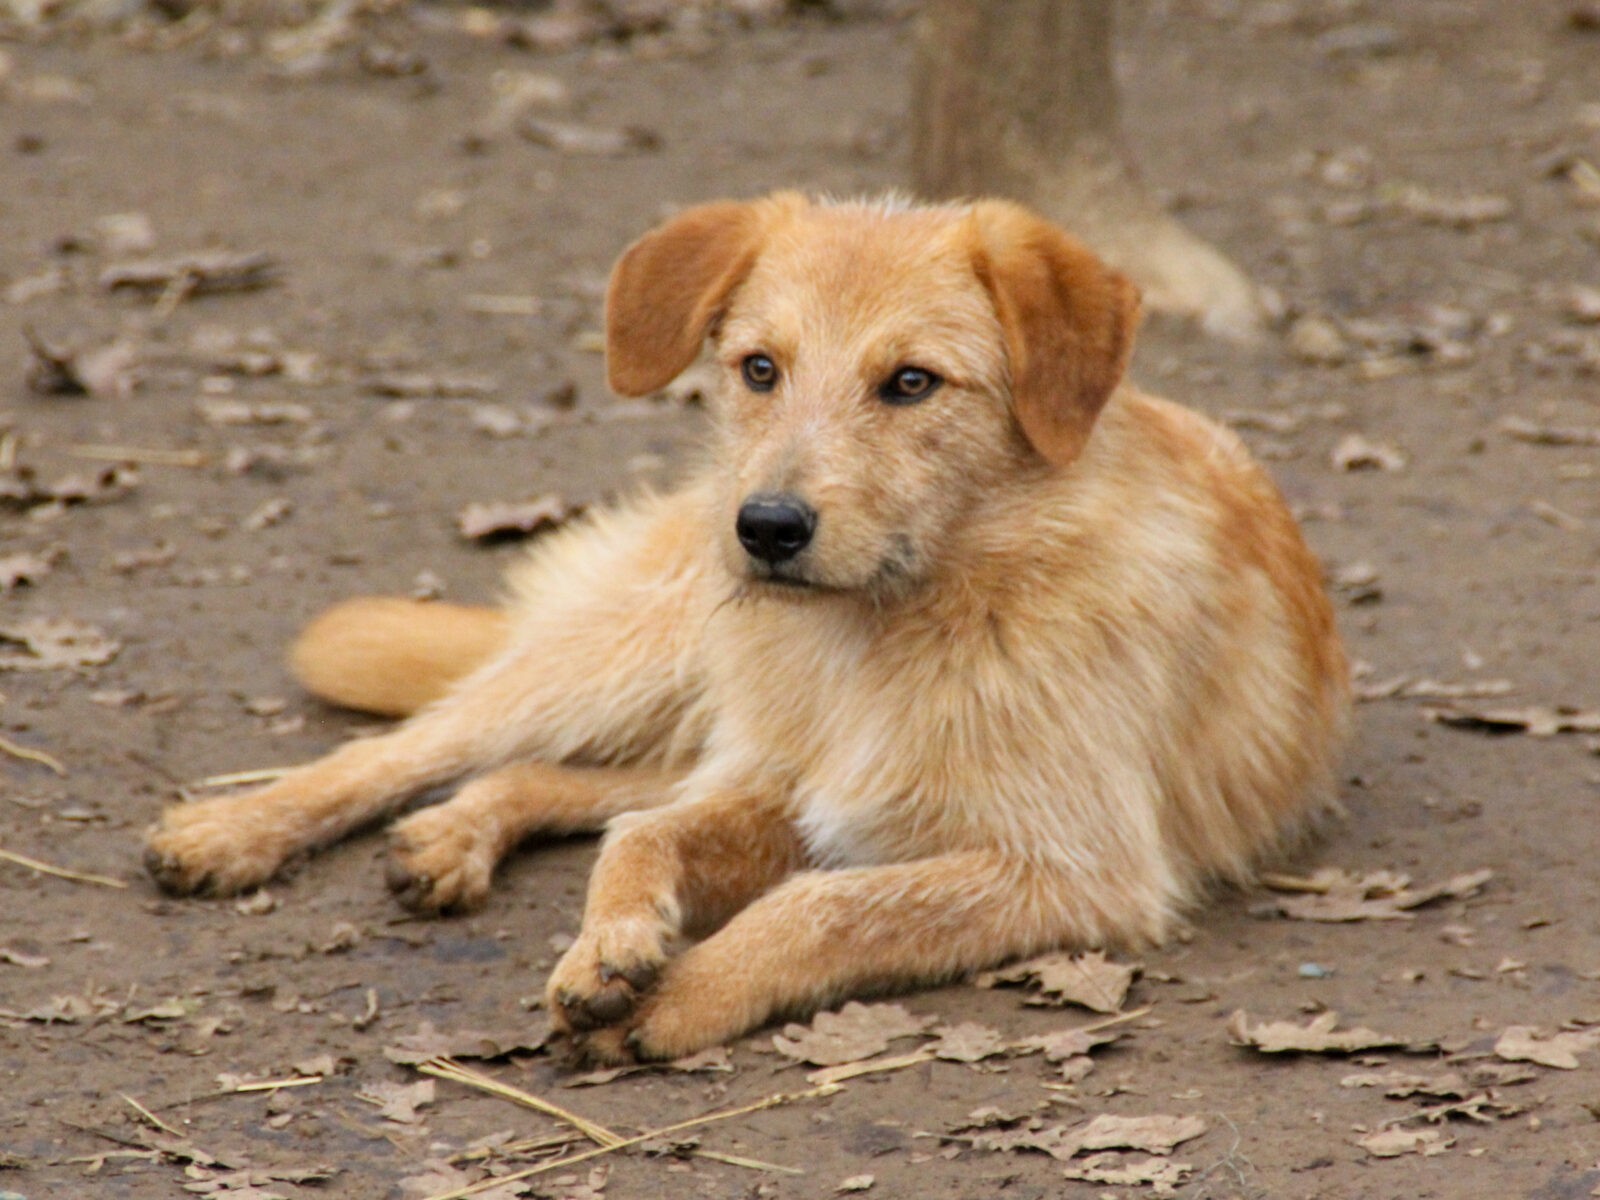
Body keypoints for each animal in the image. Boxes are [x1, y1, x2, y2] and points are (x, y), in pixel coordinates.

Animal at [147, 192, 1350, 1068]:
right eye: (759, 368)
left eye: (912, 382)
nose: (766, 527)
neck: (893, 627)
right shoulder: (793, 788)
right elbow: (649, 840)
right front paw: (612, 945)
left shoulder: (1075, 869)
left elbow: (819, 906)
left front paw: (680, 990)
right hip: (636, 655)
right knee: (418, 748)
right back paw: (235, 829)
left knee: (575, 781)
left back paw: (455, 834)